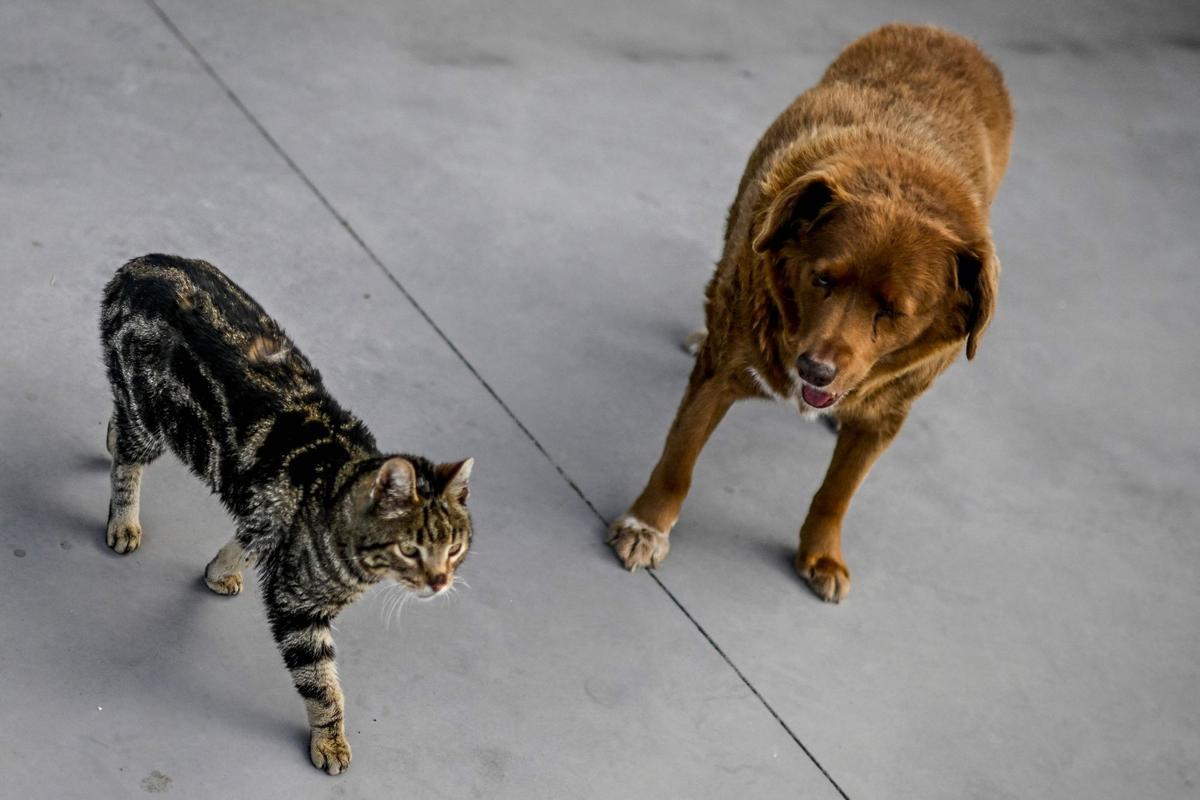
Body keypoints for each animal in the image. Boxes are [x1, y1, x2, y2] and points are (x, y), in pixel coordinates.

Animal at [99, 253, 472, 772]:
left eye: (454, 548)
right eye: (411, 549)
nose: (440, 582)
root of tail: (141, 264)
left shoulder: (268, 517)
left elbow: (247, 539)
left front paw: (220, 572)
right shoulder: (297, 608)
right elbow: (323, 687)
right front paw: (330, 740)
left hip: (141, 409)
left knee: (118, 427)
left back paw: (108, 440)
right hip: (153, 420)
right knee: (127, 462)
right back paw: (123, 521)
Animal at [609, 23, 1012, 599]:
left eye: (894, 311)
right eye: (822, 279)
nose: (815, 370)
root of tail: (942, 32)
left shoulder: (885, 418)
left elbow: (837, 492)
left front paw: (821, 554)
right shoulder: (721, 372)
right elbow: (679, 457)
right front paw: (646, 525)